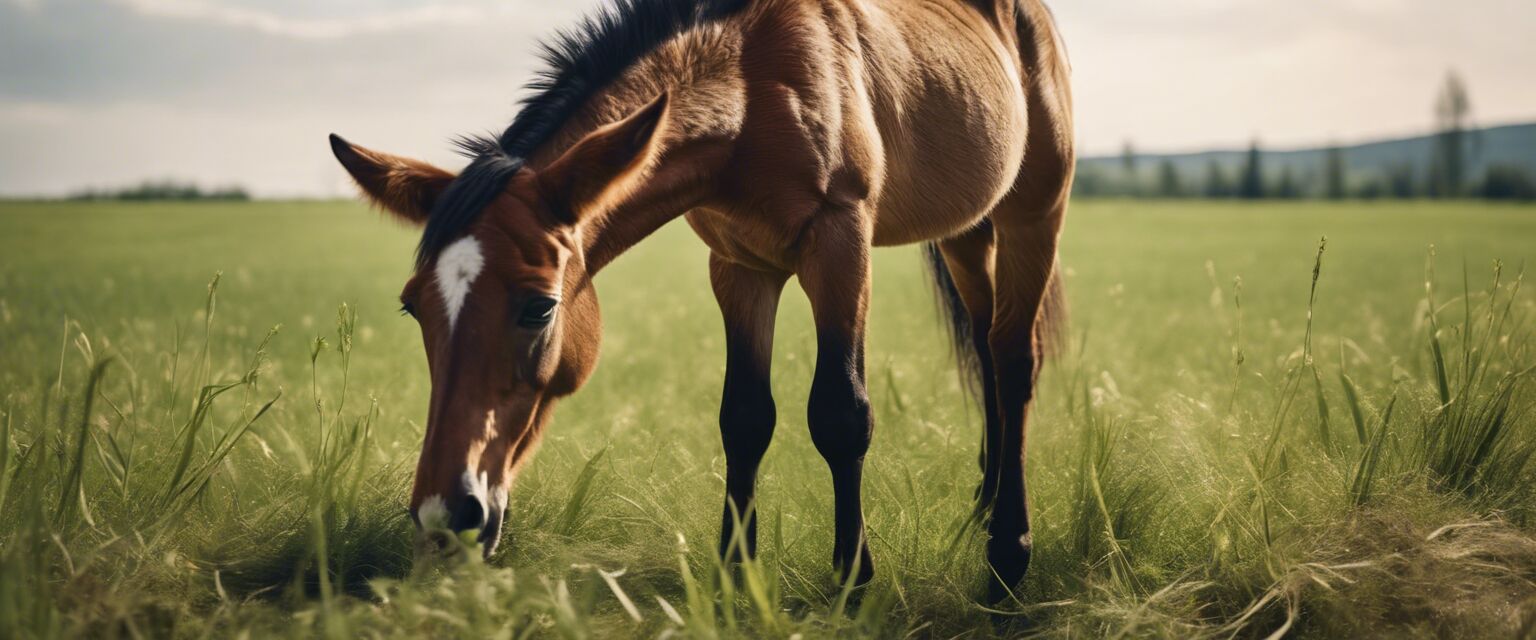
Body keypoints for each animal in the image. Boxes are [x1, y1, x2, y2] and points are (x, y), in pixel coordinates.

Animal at [327, 0, 1069, 598]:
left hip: (1032, 215)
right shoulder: (739, 267)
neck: (755, 89)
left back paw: (1008, 554)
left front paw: (855, 581)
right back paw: (985, 503)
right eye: (413, 307)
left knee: (1013, 359)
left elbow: (839, 413)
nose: (445, 517)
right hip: (967, 231)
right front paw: (734, 572)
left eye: (538, 306)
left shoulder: (840, 245)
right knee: (985, 346)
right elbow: (744, 417)